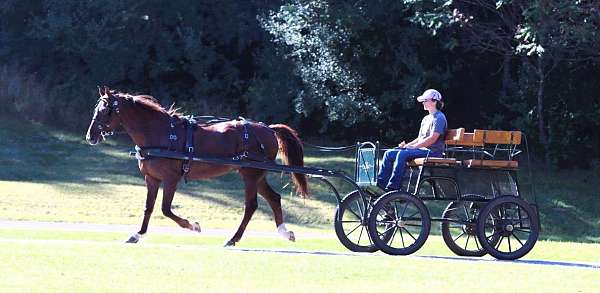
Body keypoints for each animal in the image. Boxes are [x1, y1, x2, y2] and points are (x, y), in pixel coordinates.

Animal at [85, 86, 310, 244]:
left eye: (105, 110)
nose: (90, 136)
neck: (161, 133)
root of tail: (269, 129)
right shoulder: (152, 179)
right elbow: (148, 208)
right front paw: (137, 234)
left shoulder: (171, 179)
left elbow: (165, 209)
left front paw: (193, 225)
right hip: (257, 175)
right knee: (274, 198)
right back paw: (285, 232)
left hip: (250, 175)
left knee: (251, 205)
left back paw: (233, 238)